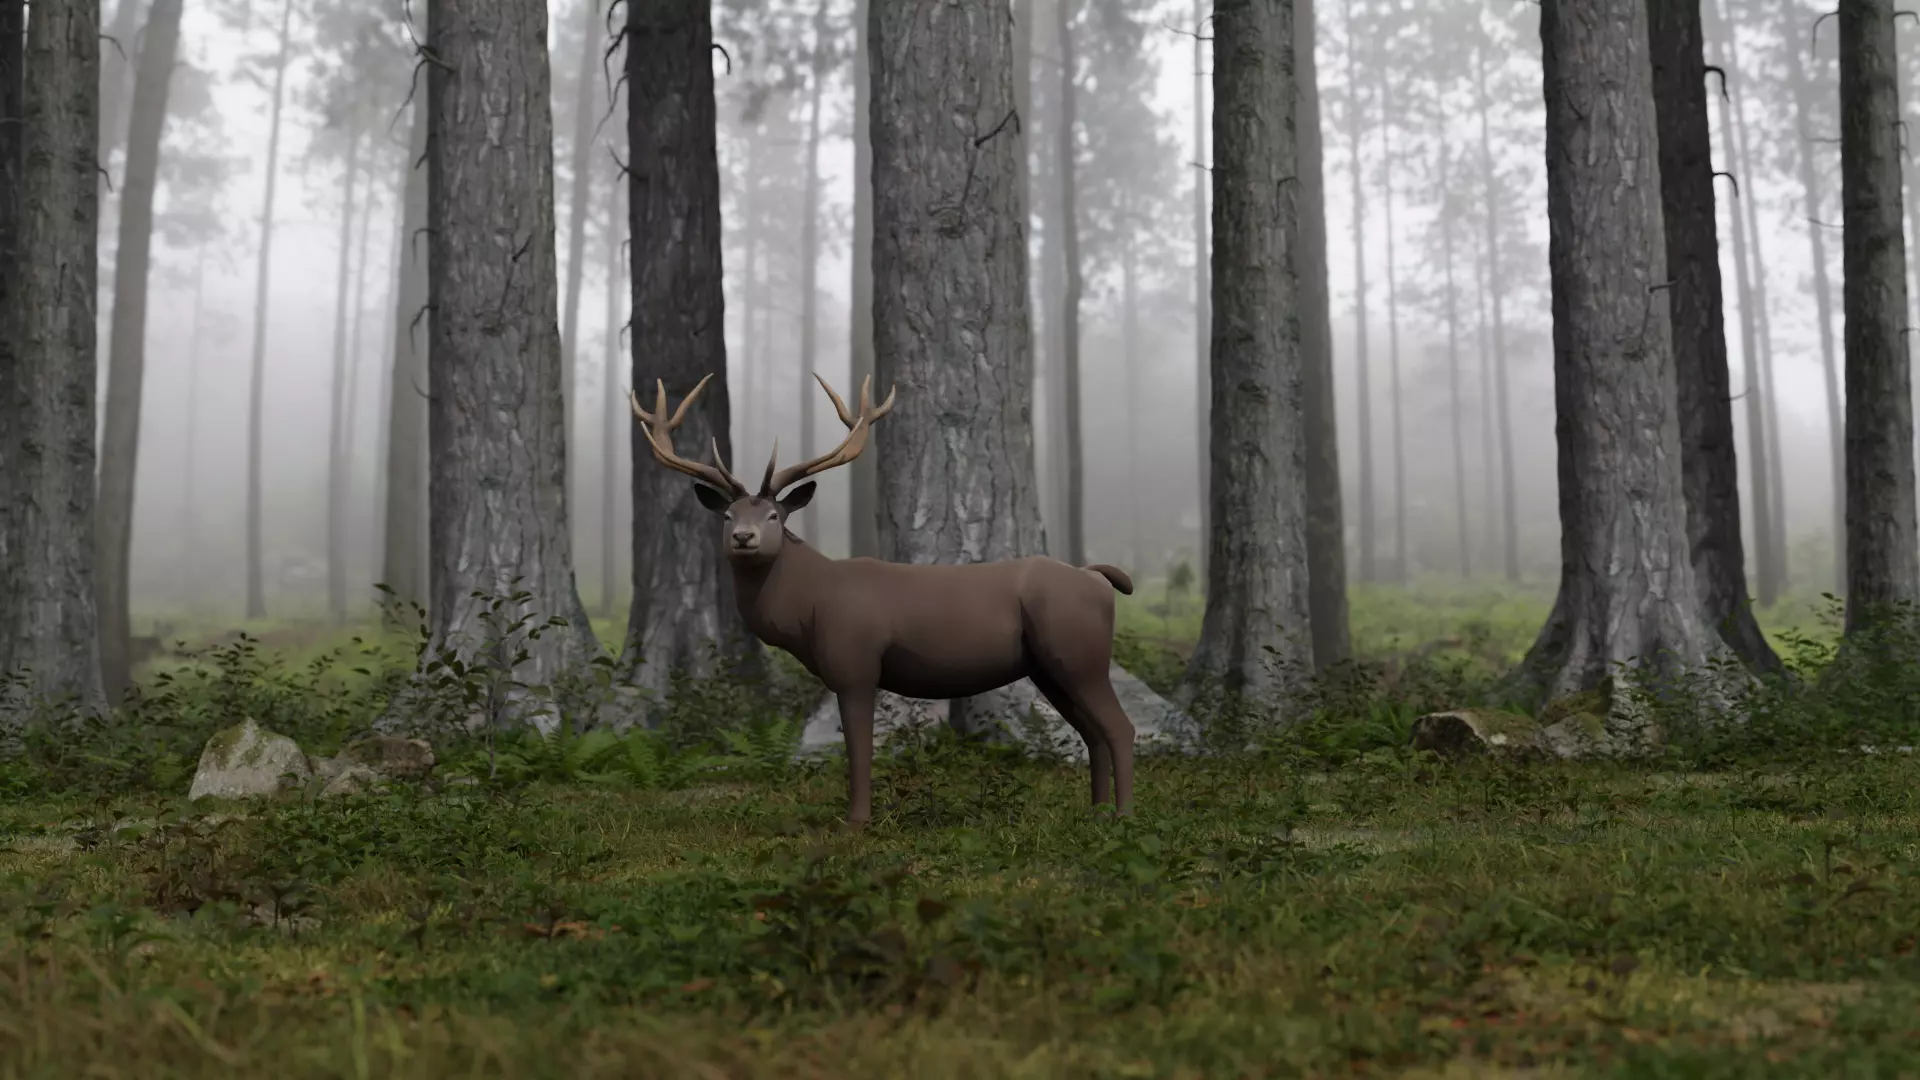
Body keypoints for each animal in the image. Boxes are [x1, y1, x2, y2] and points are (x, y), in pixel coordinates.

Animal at [628, 372, 1138, 826]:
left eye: (774, 515)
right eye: (728, 515)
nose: (744, 538)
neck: (810, 607)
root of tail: (1098, 580)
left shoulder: (855, 663)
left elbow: (859, 748)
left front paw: (856, 821)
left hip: (1080, 655)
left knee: (1120, 727)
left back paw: (1123, 817)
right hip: (1049, 667)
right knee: (1092, 733)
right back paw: (1095, 812)